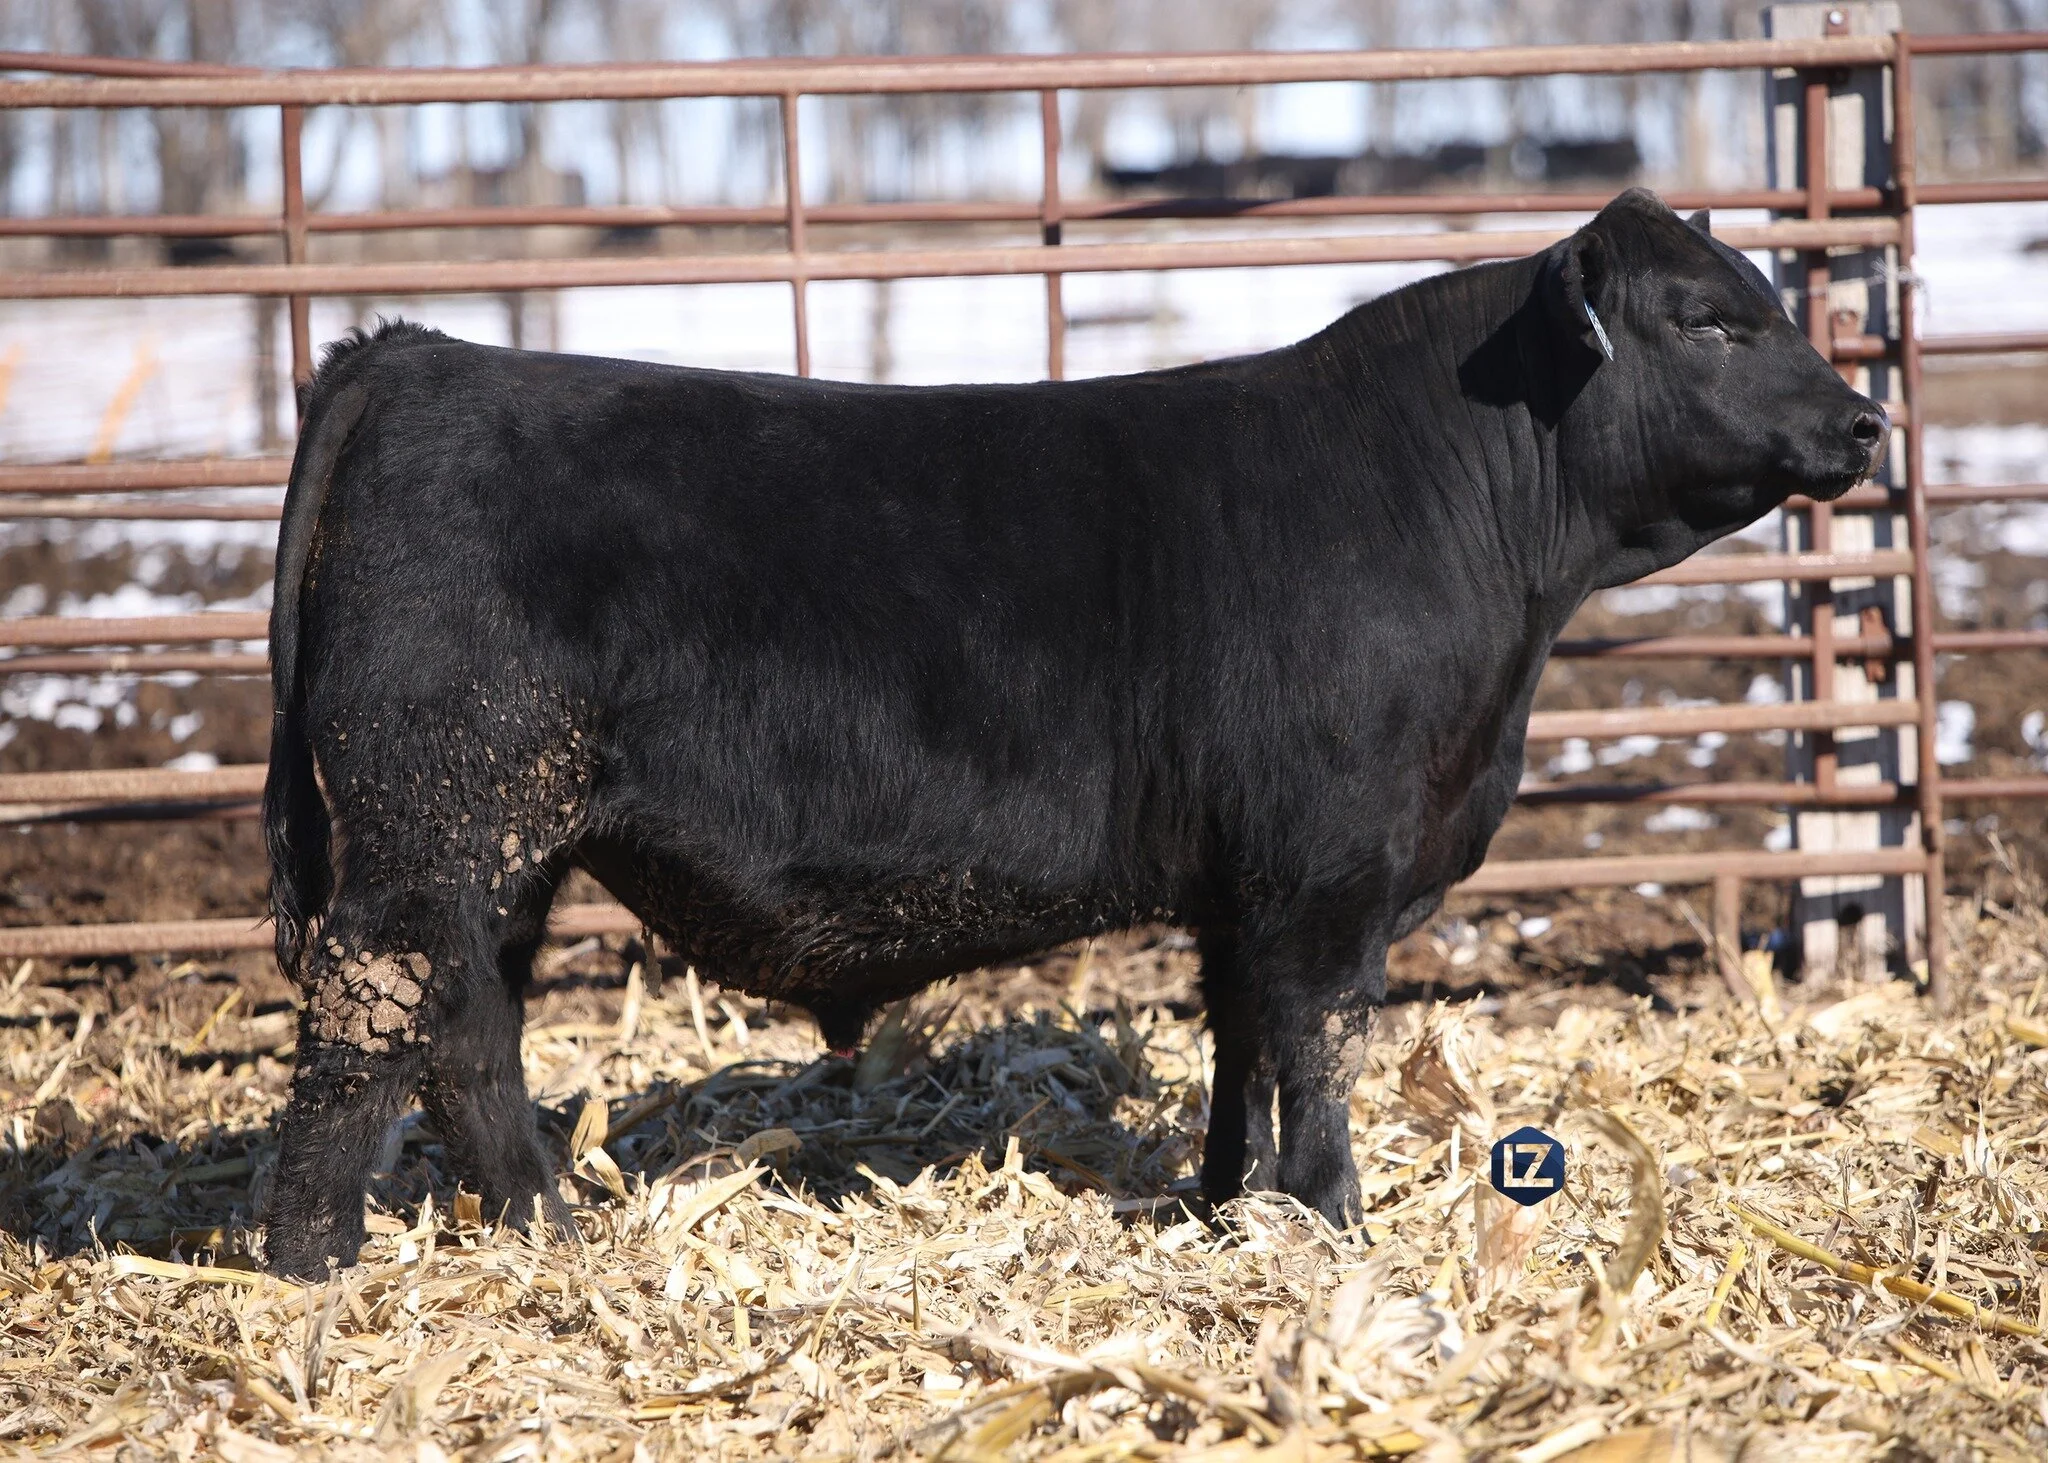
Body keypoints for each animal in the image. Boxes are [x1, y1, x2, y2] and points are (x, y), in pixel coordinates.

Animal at [259, 188, 1885, 1278]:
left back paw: (541, 1223)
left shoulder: (1246, 880)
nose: (1867, 424)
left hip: (499, 839)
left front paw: (1228, 1201)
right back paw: (314, 1258)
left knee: (467, 1021)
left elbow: (1241, 1037)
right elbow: (1321, 1037)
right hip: (435, 815)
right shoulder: (1326, 871)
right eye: (1708, 318)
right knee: (369, 1013)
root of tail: (419, 351)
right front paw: (1331, 1213)